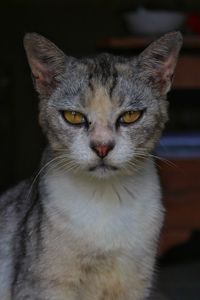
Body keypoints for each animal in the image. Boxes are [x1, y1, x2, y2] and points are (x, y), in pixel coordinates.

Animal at [0, 31, 182, 298]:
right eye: (73, 116)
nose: (102, 147)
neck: (104, 202)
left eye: (131, 116)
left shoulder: (135, 284)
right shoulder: (41, 286)